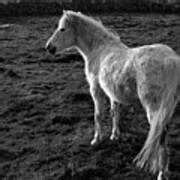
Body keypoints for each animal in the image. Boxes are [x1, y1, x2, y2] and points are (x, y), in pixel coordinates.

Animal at [45, 10, 180, 180]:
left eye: (62, 29)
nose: (49, 47)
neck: (99, 49)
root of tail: (171, 60)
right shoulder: (112, 92)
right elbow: (114, 112)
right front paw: (114, 135)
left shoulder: (95, 89)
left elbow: (98, 115)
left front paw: (96, 139)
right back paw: (165, 170)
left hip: (154, 109)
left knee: (160, 136)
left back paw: (161, 173)